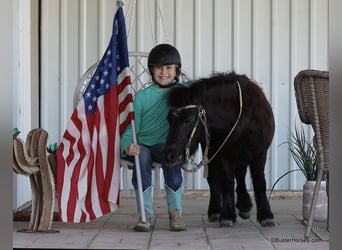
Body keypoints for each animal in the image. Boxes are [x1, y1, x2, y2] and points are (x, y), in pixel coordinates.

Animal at [164, 72, 276, 227]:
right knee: (215, 179)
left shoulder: (259, 154)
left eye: (188, 120)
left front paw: (266, 215)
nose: (170, 155)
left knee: (240, 175)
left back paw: (244, 206)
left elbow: (259, 181)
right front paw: (227, 215)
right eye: (169, 120)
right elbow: (227, 183)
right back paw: (216, 210)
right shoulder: (224, 155)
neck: (243, 118)